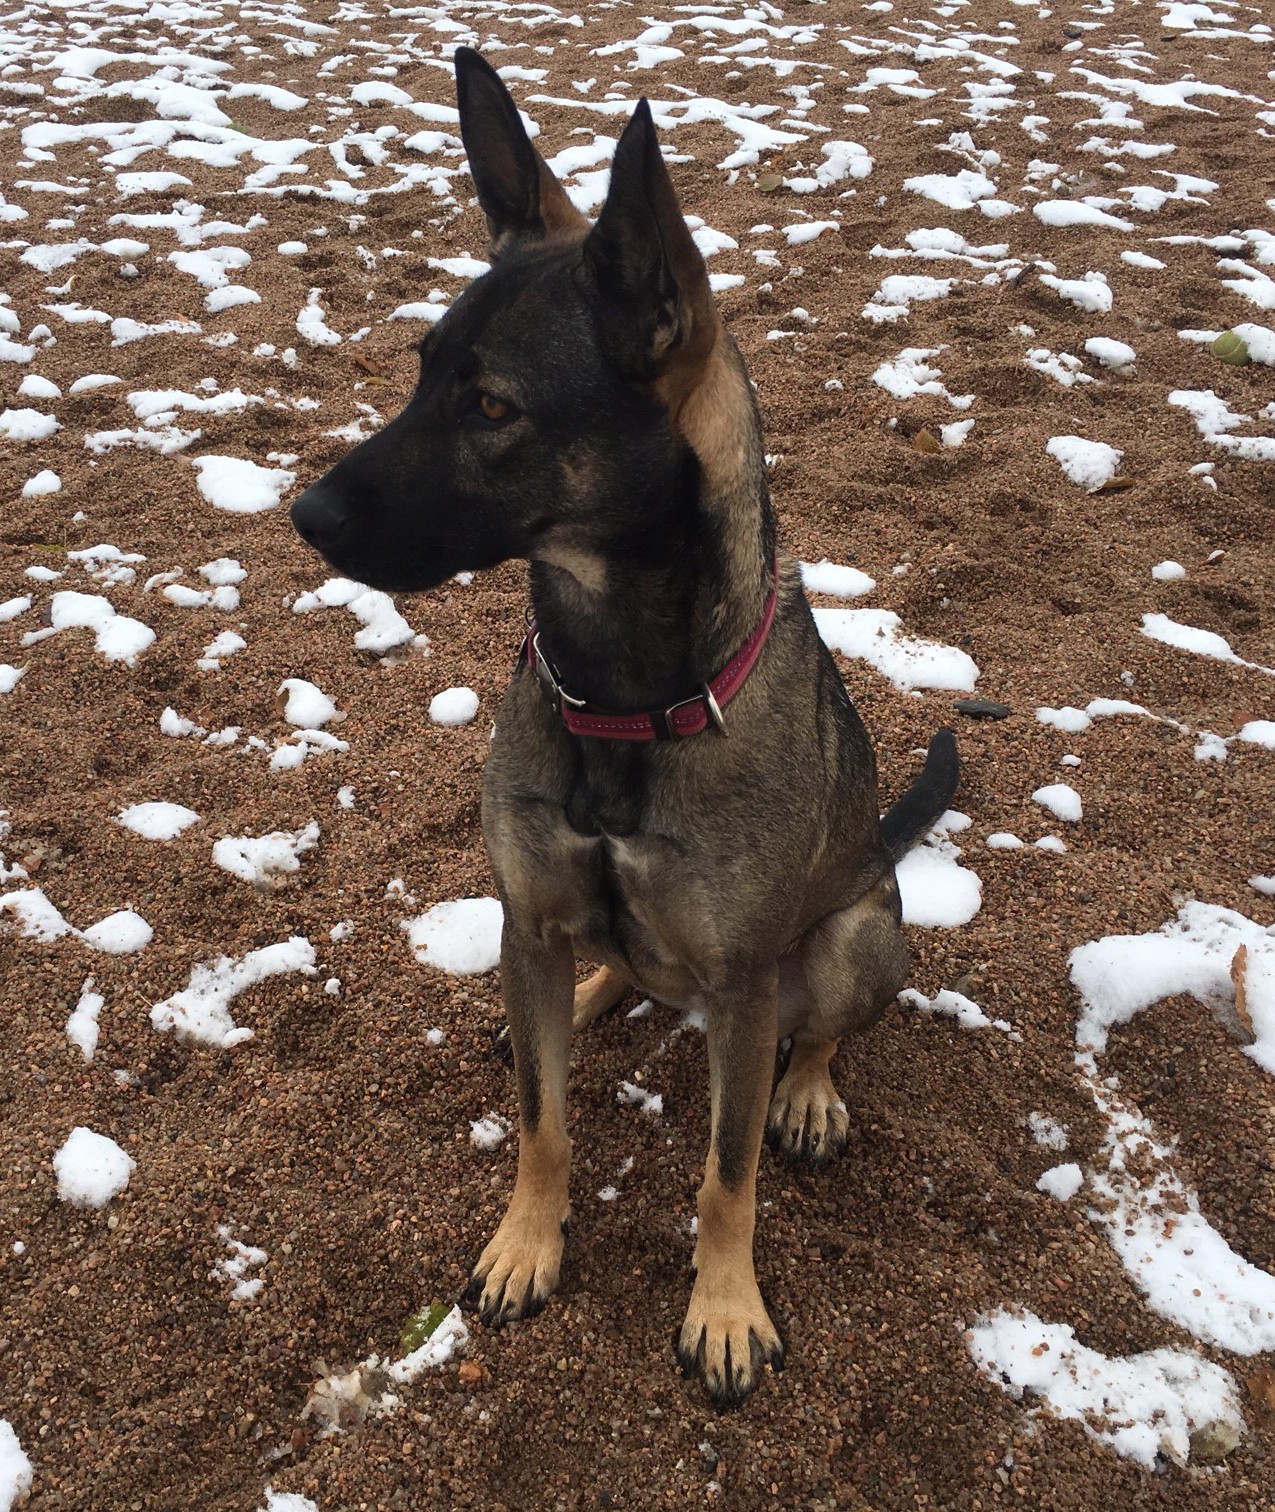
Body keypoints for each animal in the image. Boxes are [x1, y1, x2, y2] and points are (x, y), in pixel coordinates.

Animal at [291, 46, 959, 1407]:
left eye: (493, 405)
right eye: (422, 370)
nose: (305, 515)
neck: (621, 694)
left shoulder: (748, 986)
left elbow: (725, 1176)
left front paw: (725, 1304)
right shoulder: (530, 909)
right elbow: (545, 1123)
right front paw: (526, 1241)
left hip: (854, 940)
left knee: (818, 1034)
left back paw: (809, 1094)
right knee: (597, 979)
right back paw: (597, 992)